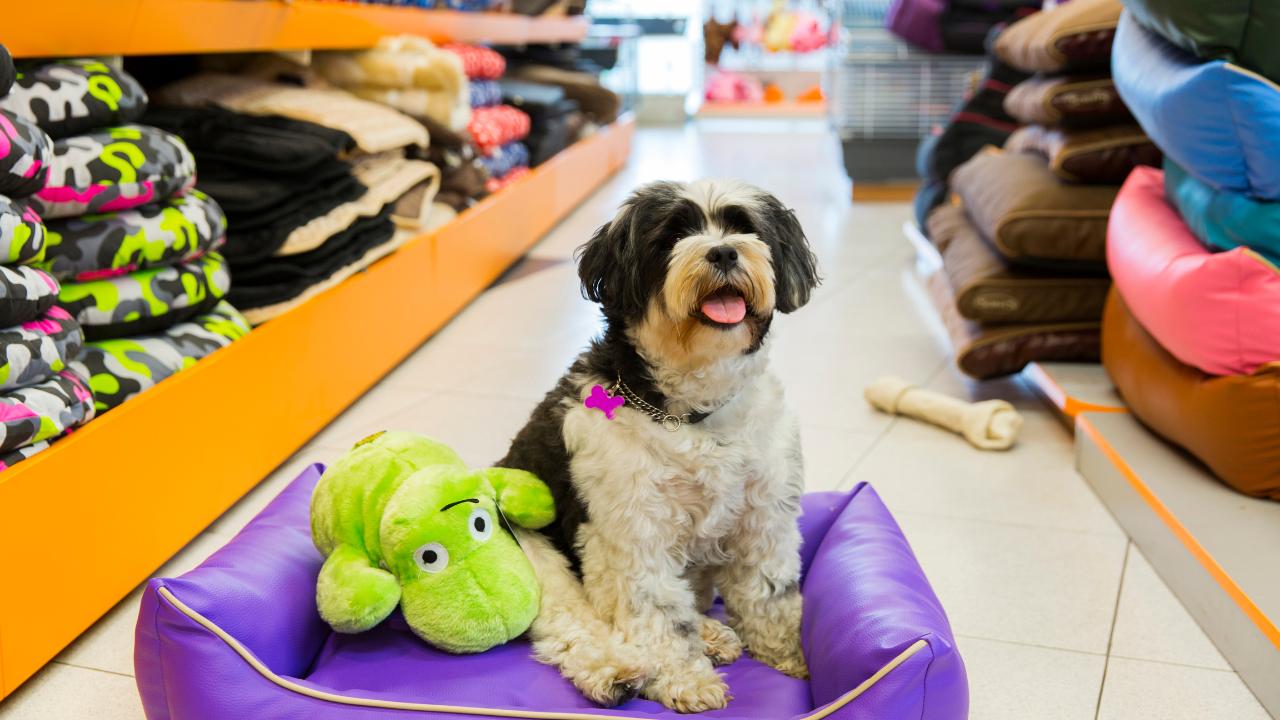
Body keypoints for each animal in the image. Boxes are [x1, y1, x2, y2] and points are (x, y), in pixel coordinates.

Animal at [499, 176, 819, 707]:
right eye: (672, 236)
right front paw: (684, 678)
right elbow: (657, 615)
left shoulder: (764, 518)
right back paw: (615, 670)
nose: (724, 252)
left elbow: (769, 594)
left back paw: (712, 635)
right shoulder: (632, 533)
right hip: (527, 548)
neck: (692, 414)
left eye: (744, 227)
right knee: (569, 621)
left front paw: (791, 656)